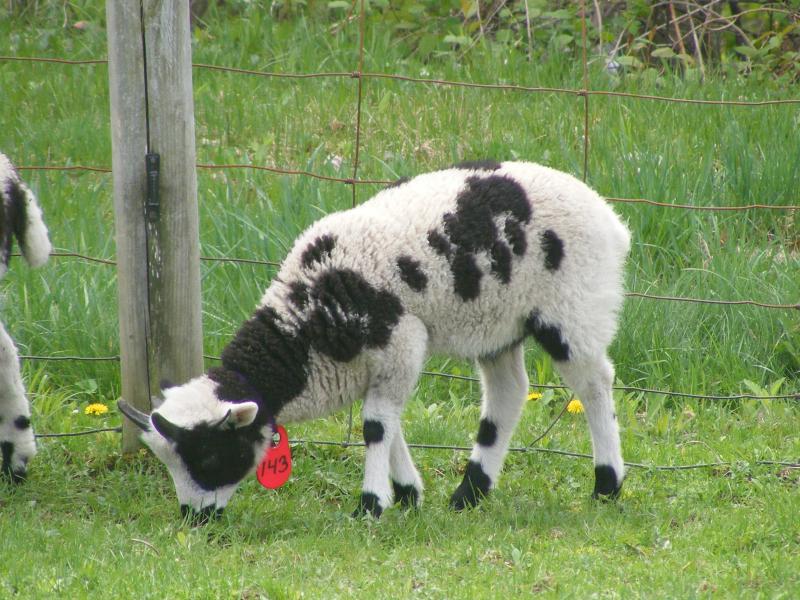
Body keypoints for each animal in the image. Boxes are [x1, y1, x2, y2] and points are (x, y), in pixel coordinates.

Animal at [119, 160, 630, 522]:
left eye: (207, 454)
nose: (193, 520)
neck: (305, 326)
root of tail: (612, 220)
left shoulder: (399, 338)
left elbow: (375, 426)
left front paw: (370, 504)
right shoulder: (382, 359)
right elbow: (390, 421)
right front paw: (406, 494)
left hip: (572, 306)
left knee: (595, 383)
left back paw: (607, 485)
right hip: (499, 322)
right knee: (508, 394)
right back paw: (469, 494)